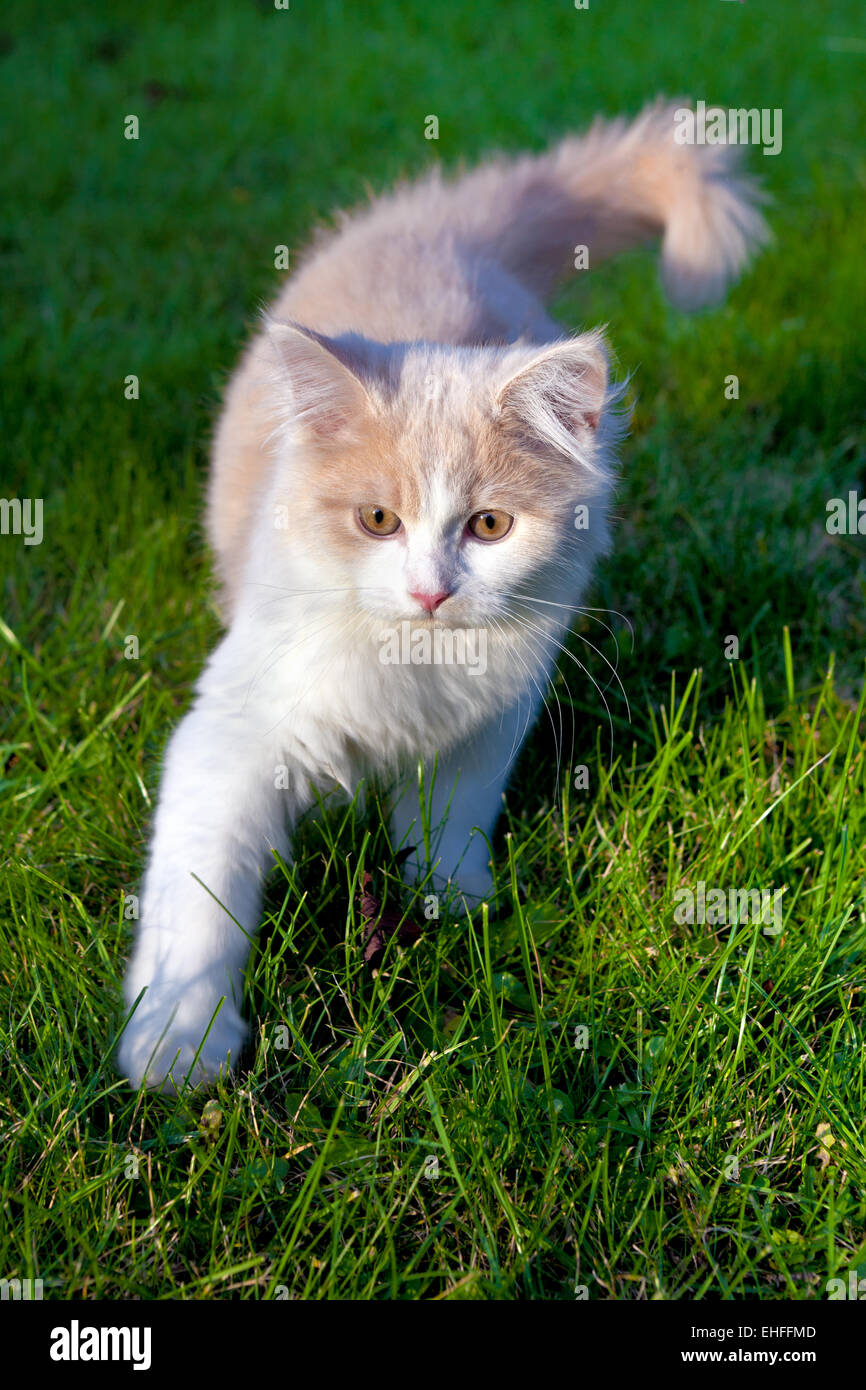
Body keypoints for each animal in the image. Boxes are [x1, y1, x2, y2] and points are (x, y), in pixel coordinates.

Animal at [115, 102, 767, 1089]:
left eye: (489, 526)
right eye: (378, 520)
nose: (429, 592)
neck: (412, 661)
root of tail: (444, 223)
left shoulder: (492, 718)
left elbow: (454, 812)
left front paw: (453, 898)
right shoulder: (231, 736)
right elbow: (200, 901)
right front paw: (180, 1045)